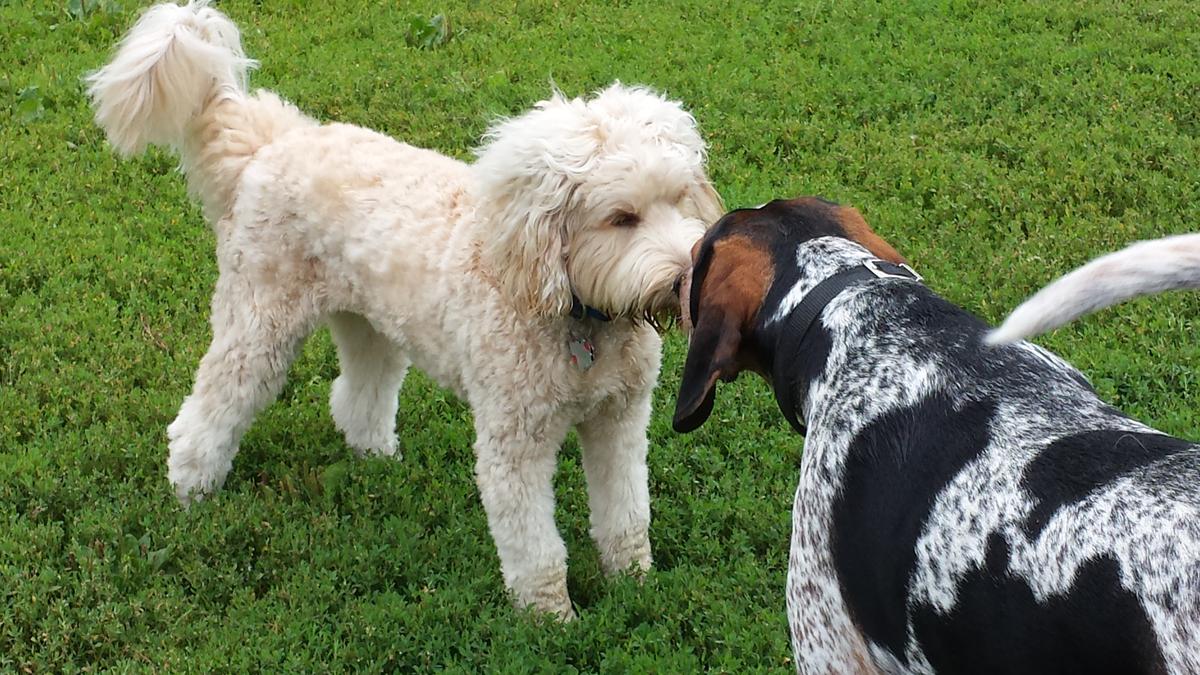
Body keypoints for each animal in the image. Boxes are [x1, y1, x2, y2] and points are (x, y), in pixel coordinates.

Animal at [88, 0, 720, 614]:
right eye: (621, 218)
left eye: (678, 198)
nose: (684, 279)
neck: (579, 315)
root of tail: (273, 142)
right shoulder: (514, 443)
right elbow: (536, 550)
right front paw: (552, 620)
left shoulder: (621, 419)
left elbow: (628, 517)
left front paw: (635, 587)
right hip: (259, 322)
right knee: (208, 410)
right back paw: (191, 491)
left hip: (368, 324)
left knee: (356, 397)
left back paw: (376, 460)